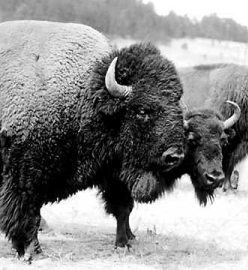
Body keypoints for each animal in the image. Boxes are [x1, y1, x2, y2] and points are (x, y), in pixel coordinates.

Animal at [0, 20, 186, 262]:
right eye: (142, 110)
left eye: (177, 105)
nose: (174, 156)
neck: (85, 96)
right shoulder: (24, 176)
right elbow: (27, 214)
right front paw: (33, 252)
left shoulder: (115, 172)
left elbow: (123, 208)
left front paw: (124, 244)